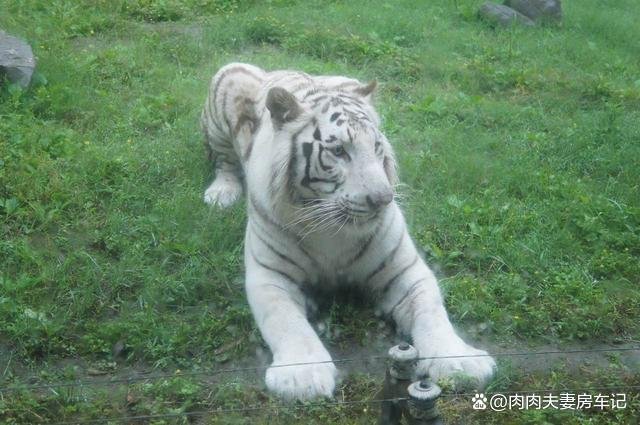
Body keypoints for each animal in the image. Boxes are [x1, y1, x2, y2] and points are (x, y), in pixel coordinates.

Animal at [200, 62, 496, 400]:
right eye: (339, 151)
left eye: (377, 147)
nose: (382, 199)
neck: (333, 228)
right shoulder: (270, 275)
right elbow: (286, 321)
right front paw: (302, 376)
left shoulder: (406, 270)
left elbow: (433, 312)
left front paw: (460, 361)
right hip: (228, 83)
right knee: (223, 162)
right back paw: (221, 194)